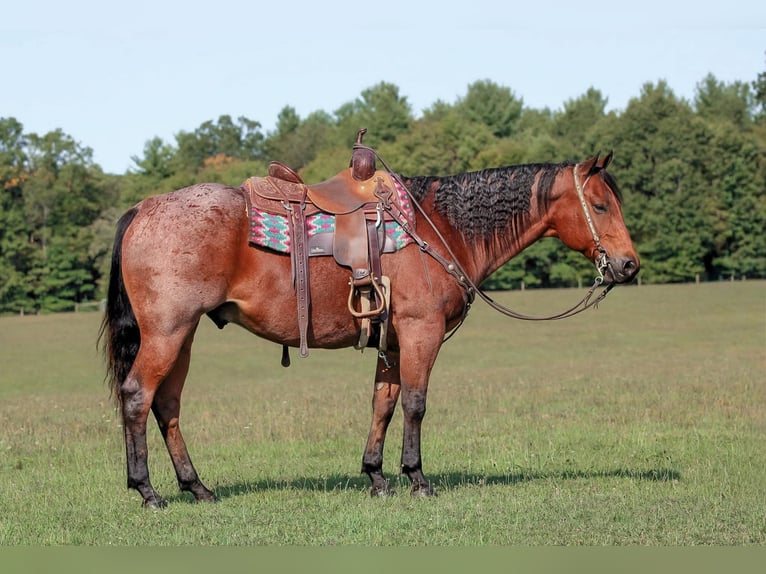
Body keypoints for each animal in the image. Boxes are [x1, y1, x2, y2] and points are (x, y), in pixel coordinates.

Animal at [100, 149, 639, 508]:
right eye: (601, 205)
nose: (629, 265)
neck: (438, 227)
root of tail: (145, 207)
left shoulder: (393, 340)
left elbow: (384, 403)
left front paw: (376, 476)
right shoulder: (421, 332)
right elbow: (416, 404)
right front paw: (417, 478)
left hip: (183, 336)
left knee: (168, 406)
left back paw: (197, 487)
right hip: (168, 332)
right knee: (138, 397)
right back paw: (147, 490)